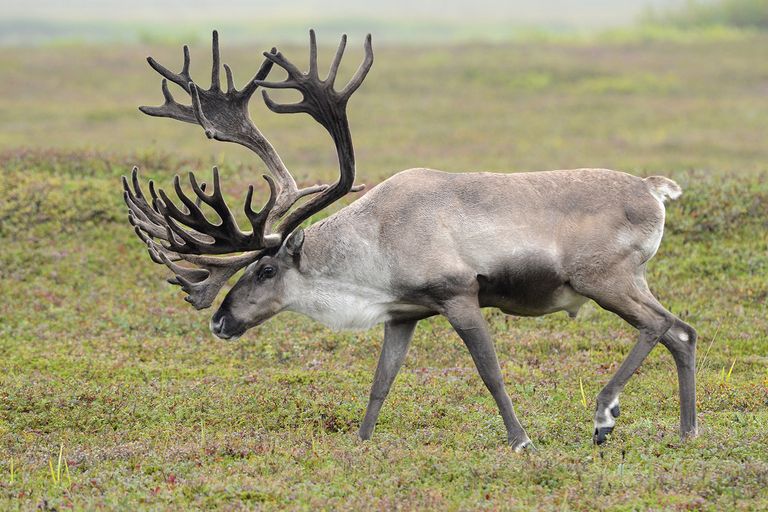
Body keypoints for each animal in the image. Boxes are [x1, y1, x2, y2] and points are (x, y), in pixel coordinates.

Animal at [122, 30, 698, 451]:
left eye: (265, 270)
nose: (220, 321)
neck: (373, 245)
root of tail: (654, 189)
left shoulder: (459, 295)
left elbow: (490, 373)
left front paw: (521, 442)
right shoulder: (402, 314)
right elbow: (381, 382)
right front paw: (361, 442)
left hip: (604, 278)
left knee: (660, 325)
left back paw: (604, 417)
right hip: (629, 280)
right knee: (682, 332)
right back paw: (688, 430)